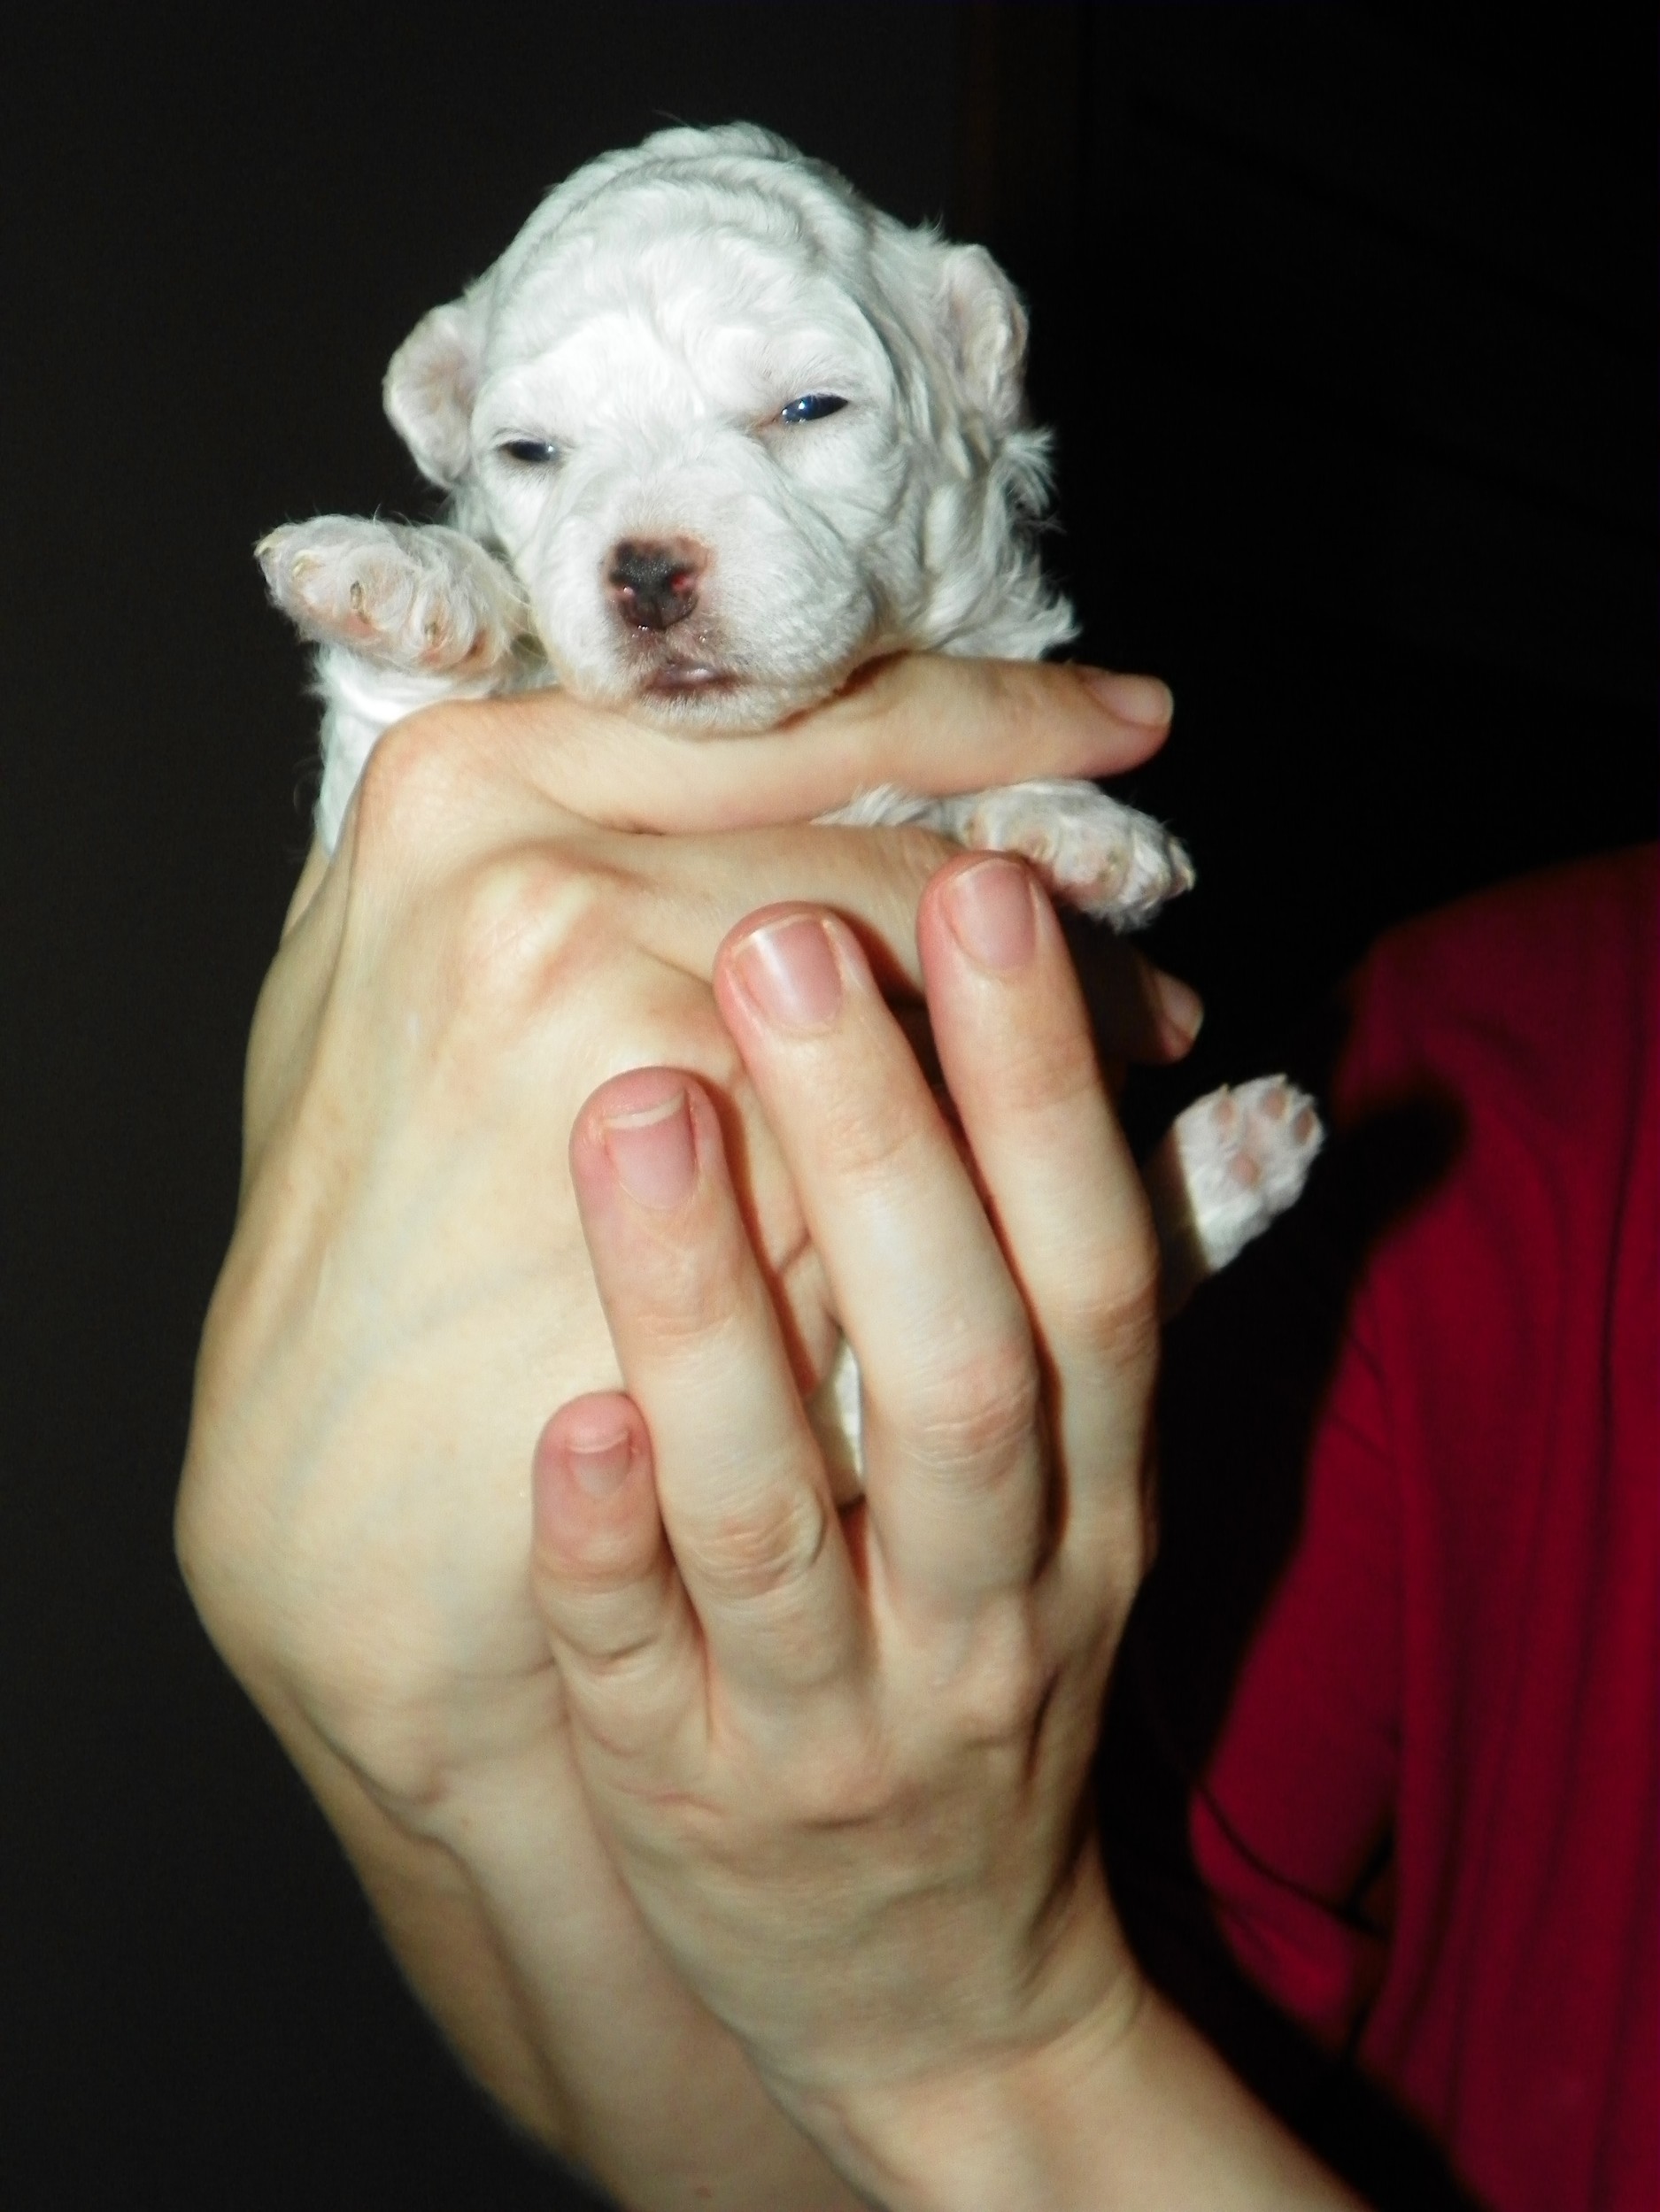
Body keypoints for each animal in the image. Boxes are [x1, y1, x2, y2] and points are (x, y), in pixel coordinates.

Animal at [259, 124, 1320, 1421]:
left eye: (808, 408)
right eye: (529, 451)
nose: (646, 570)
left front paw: (1076, 825)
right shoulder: (374, 792)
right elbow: (415, 695)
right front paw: (398, 575)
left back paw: (1233, 1157)